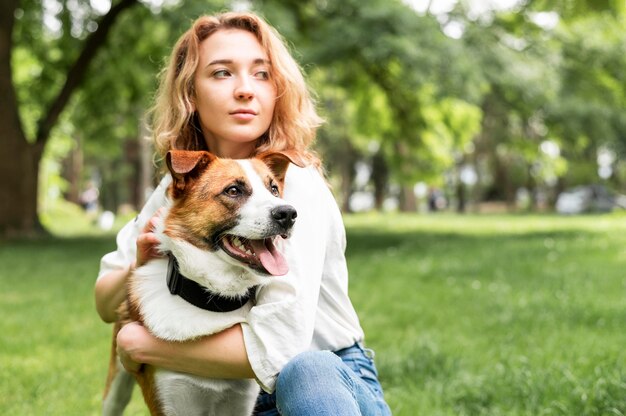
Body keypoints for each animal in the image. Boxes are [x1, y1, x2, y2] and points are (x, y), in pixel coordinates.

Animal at [103, 150, 302, 416]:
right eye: (233, 190)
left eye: (273, 189)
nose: (288, 214)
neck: (212, 299)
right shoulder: (171, 402)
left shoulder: (239, 404)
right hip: (115, 389)